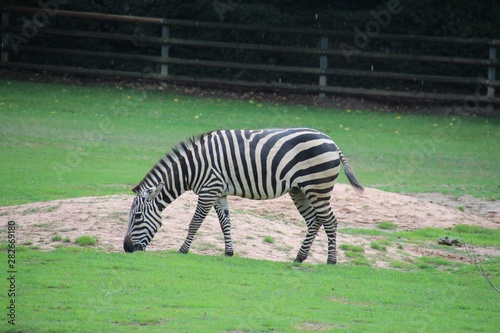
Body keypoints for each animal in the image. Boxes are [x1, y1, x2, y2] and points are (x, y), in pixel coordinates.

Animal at [122, 127, 362, 264]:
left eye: (138, 217)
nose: (126, 249)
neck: (192, 168)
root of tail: (332, 142)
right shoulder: (218, 192)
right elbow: (225, 222)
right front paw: (229, 252)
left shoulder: (209, 190)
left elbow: (195, 222)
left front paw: (183, 250)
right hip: (299, 189)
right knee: (314, 221)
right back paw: (300, 257)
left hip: (317, 187)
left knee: (330, 221)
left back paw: (331, 260)